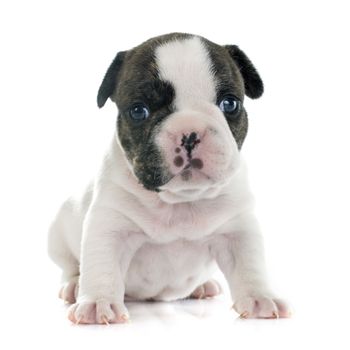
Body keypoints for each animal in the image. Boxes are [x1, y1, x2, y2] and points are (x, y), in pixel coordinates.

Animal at [47, 33, 292, 326]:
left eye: (230, 104)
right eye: (138, 111)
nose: (189, 132)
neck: (180, 201)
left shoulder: (238, 229)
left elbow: (249, 264)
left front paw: (260, 298)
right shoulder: (110, 225)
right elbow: (102, 264)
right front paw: (97, 303)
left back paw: (202, 286)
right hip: (58, 236)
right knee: (70, 266)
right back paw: (74, 285)